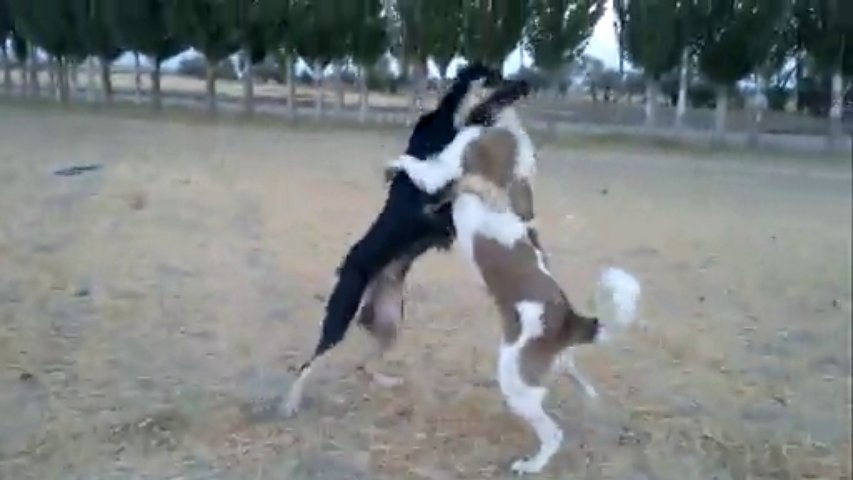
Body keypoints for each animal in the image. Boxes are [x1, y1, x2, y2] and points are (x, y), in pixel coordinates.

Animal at [388, 103, 642, 475]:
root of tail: (569, 323)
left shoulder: (448, 166)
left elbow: (422, 167)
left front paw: (396, 162)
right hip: (552, 369)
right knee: (575, 377)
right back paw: (589, 396)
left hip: (516, 383)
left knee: (553, 434)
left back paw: (532, 465)